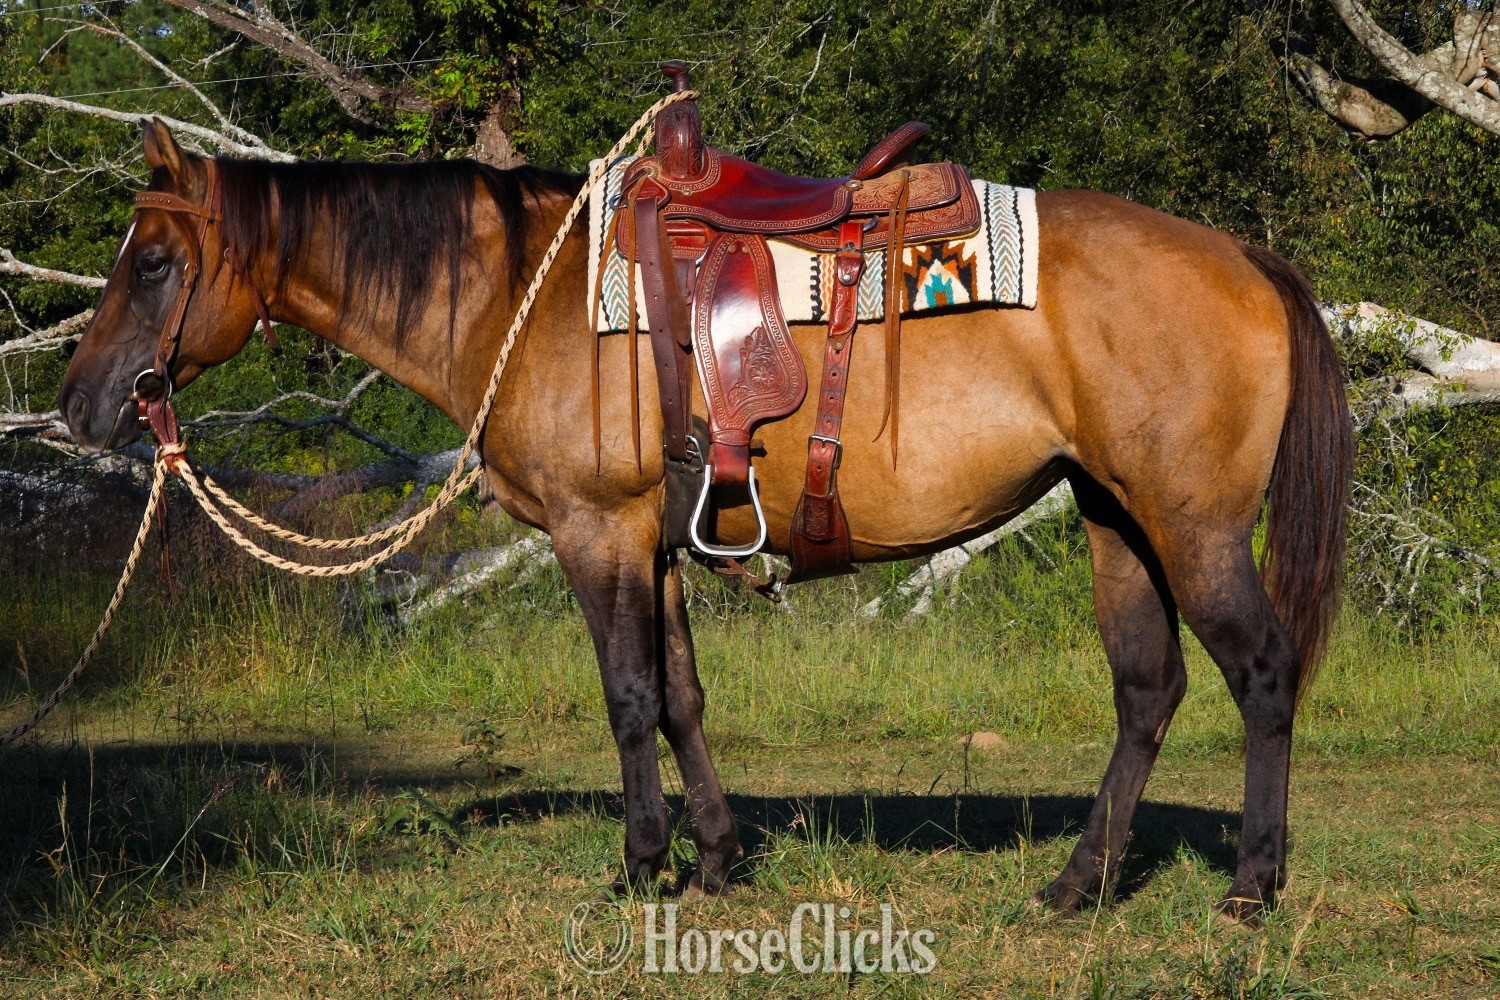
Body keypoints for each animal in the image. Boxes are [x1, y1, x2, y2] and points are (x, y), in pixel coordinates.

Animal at [59, 119, 1351, 921]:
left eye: (157, 260)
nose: (78, 404)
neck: (527, 296)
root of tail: (1247, 256)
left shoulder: (595, 534)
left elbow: (629, 698)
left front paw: (642, 866)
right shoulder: (659, 540)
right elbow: (681, 694)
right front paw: (720, 858)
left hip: (1191, 528)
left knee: (1263, 671)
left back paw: (1252, 885)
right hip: (1115, 519)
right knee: (1148, 689)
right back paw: (1079, 885)